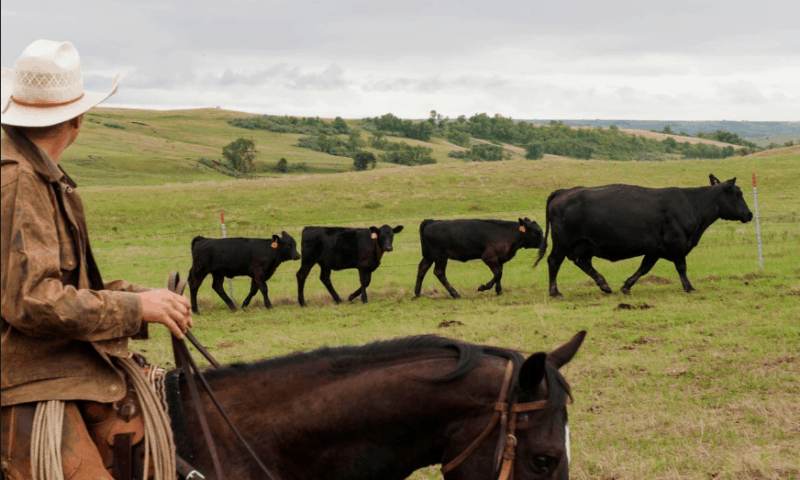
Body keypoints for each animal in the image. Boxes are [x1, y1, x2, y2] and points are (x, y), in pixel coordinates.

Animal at [536, 174, 752, 298]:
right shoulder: (676, 244)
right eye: (738, 194)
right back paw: (555, 292)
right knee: (554, 261)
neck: (692, 204)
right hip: (562, 242)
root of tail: (565, 191)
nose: (749, 214)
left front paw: (626, 286)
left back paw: (604, 285)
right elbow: (681, 267)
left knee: (583, 262)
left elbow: (644, 268)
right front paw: (689, 287)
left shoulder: (654, 249)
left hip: (583, 245)